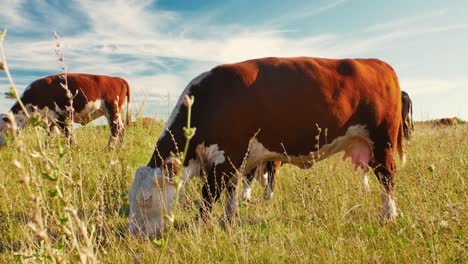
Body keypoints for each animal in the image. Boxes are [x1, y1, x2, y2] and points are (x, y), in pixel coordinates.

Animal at [0, 73, 130, 147]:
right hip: (116, 114)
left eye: (1, 128)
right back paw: (120, 148)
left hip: (112, 111)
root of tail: (117, 79)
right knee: (122, 129)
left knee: (115, 130)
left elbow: (67, 136)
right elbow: (50, 137)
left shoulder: (61, 118)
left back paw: (109, 149)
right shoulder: (50, 121)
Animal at [129, 56, 406, 236]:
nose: (134, 234)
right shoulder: (235, 160)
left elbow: (208, 197)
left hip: (382, 143)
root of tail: (380, 64)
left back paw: (389, 216)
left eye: (145, 199)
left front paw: (199, 226)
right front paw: (229, 220)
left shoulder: (227, 158)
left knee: (388, 178)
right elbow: (231, 193)